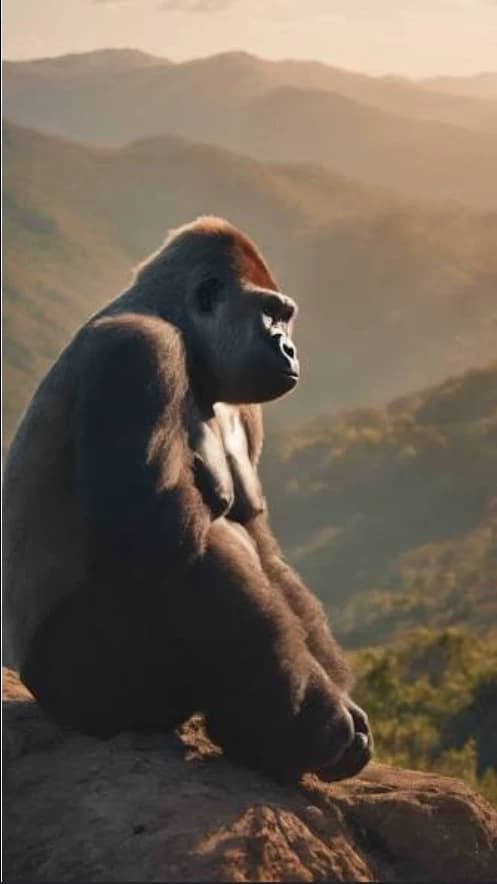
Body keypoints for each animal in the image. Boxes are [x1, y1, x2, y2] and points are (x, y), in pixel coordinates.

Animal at [3, 216, 372, 783]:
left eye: (286, 318)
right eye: (271, 314)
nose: (289, 349)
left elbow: (262, 547)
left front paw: (339, 706)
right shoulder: (139, 352)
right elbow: (167, 548)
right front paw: (315, 724)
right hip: (81, 690)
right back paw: (271, 734)